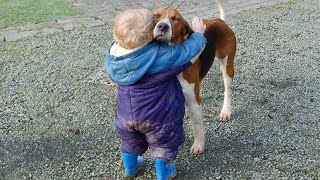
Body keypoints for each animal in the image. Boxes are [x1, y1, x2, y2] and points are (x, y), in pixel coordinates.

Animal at [152, 0, 238, 155]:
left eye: (175, 18)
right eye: (156, 16)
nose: (163, 26)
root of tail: (219, 21)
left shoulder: (193, 102)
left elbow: (197, 125)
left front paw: (199, 145)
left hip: (227, 65)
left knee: (228, 90)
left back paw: (225, 111)